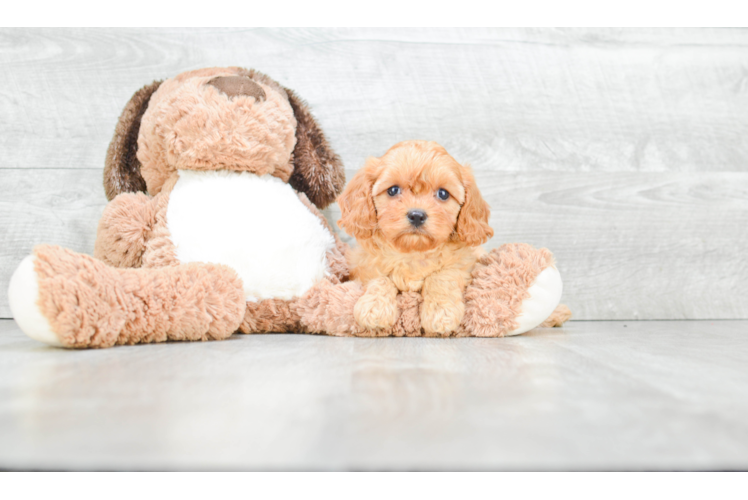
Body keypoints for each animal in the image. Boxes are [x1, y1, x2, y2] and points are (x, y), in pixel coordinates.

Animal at [338, 141, 490, 336]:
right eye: (393, 190)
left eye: (443, 194)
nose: (417, 215)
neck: (413, 252)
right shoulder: (363, 265)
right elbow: (381, 278)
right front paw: (374, 307)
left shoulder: (463, 264)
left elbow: (441, 277)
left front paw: (441, 313)